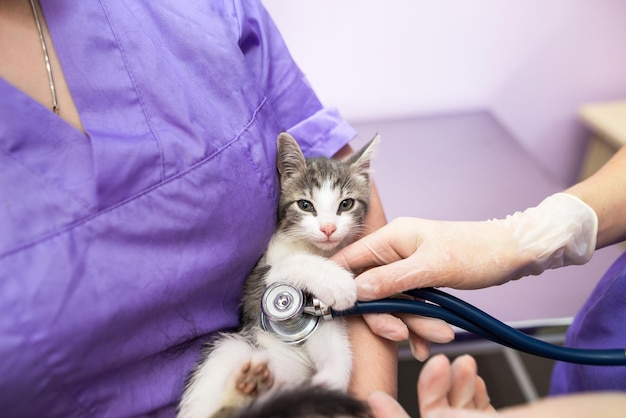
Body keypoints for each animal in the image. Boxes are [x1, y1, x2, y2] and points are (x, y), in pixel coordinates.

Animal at [178, 132, 378, 418]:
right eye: (305, 205)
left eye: (346, 204)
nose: (328, 228)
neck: (310, 247)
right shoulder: (253, 288)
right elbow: (290, 264)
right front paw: (336, 281)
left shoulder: (318, 315)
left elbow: (333, 344)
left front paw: (331, 380)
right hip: (229, 347)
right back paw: (246, 386)